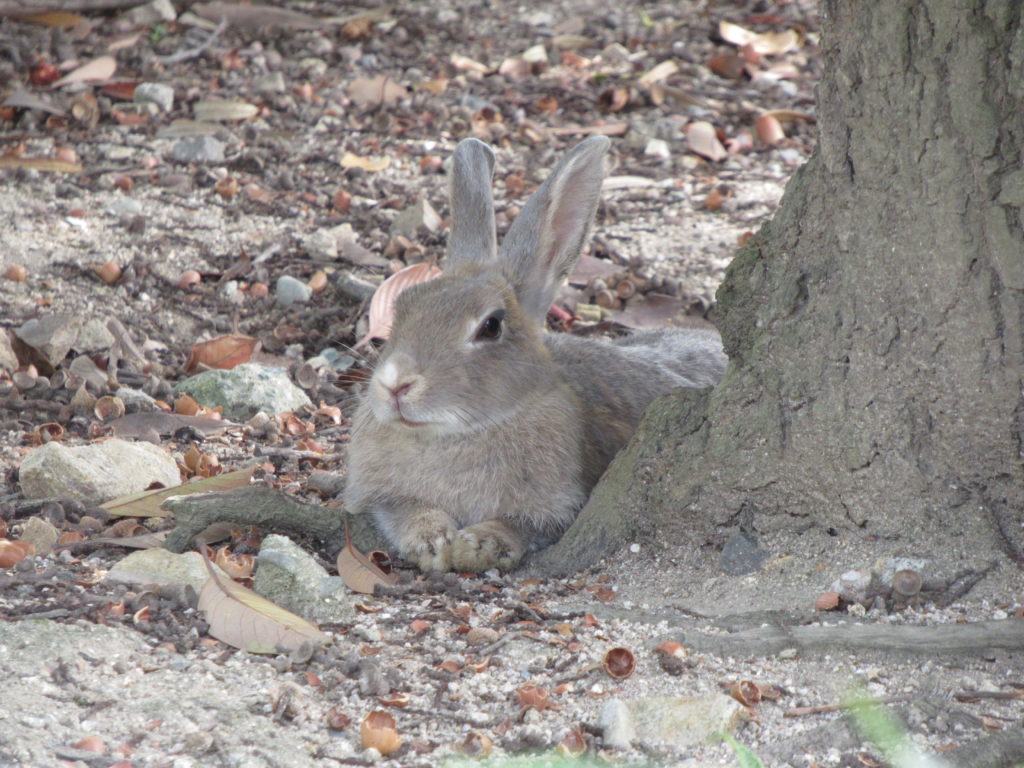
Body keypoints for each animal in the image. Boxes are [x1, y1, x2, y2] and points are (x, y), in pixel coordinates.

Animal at [346, 135, 729, 573]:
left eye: (491, 326)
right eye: (403, 306)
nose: (395, 385)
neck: (452, 434)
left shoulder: (557, 504)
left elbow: (522, 526)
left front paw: (478, 544)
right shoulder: (382, 495)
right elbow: (404, 510)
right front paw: (432, 541)